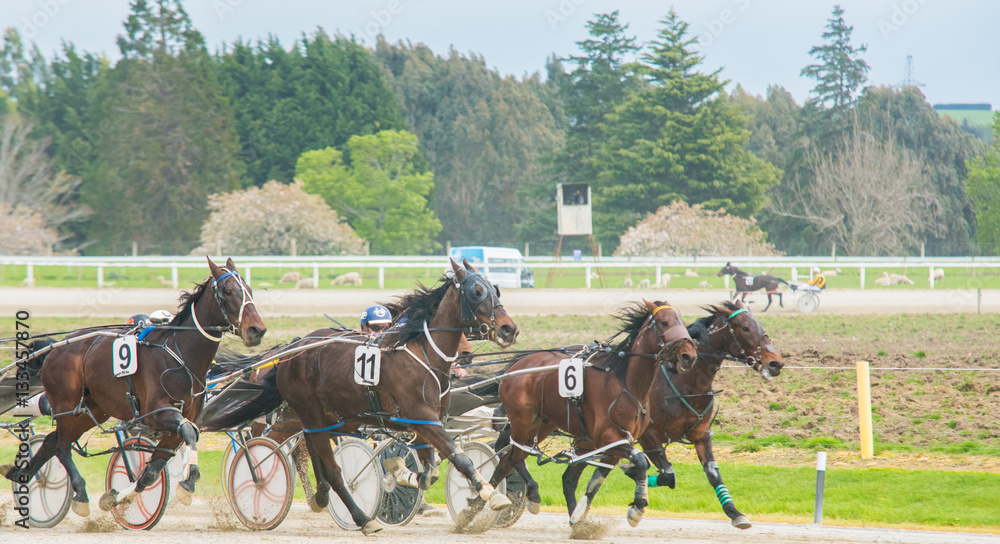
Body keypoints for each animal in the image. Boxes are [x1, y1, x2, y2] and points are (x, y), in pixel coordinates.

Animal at [3, 257, 266, 520]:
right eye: (228, 291)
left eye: (250, 290)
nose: (257, 330)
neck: (179, 354)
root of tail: (56, 346)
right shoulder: (156, 414)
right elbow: (189, 433)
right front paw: (189, 481)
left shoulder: (179, 420)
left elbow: (152, 471)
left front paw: (118, 496)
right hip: (66, 405)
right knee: (61, 445)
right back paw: (80, 494)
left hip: (93, 409)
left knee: (52, 440)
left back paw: (21, 474)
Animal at [199, 259, 518, 535]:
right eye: (476, 292)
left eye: (496, 289)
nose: (509, 328)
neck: (421, 353)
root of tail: (291, 351)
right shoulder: (422, 417)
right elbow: (459, 458)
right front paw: (491, 494)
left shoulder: (424, 422)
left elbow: (430, 471)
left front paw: (401, 472)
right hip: (310, 413)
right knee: (327, 467)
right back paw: (360, 518)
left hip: (332, 418)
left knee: (312, 449)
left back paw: (321, 497)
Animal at [472, 300, 698, 529]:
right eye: (664, 322)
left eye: (682, 322)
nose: (689, 356)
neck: (625, 383)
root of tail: (515, 367)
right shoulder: (609, 437)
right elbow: (641, 461)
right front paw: (637, 507)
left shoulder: (616, 443)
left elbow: (599, 478)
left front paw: (580, 512)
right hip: (523, 421)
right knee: (516, 456)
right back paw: (531, 496)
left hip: (544, 424)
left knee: (510, 464)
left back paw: (475, 508)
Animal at [624, 300, 783, 529]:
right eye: (745, 327)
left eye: (759, 325)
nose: (776, 362)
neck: (684, 382)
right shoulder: (648, 435)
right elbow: (668, 474)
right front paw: (633, 488)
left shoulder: (701, 434)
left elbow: (713, 473)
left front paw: (735, 513)